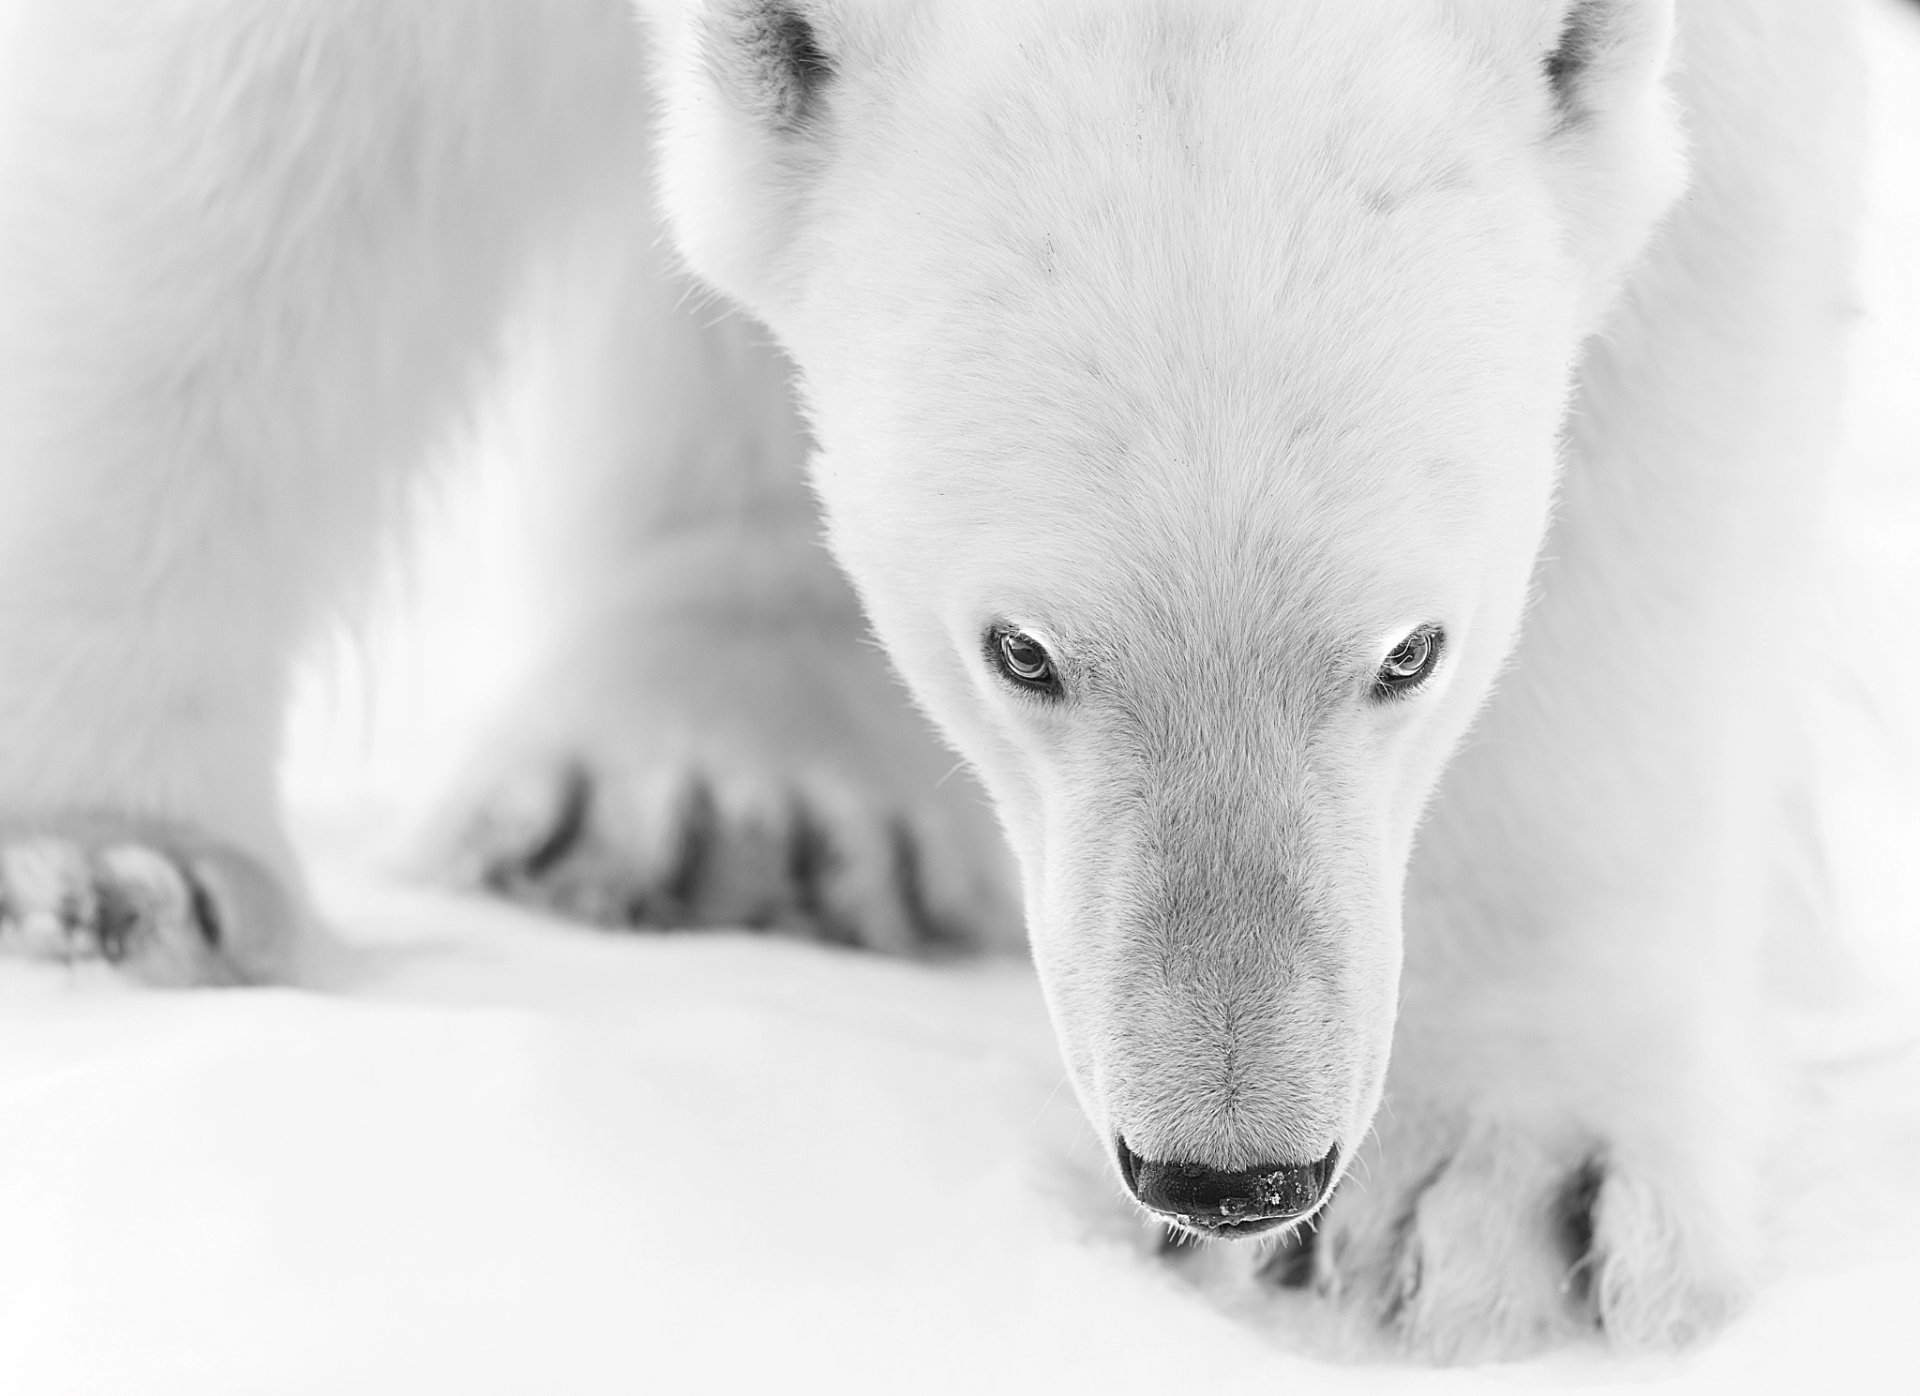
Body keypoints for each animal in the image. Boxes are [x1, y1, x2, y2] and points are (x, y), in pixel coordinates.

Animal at [0, 0, 1869, 1363]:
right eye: (1021, 652)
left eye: (1412, 651)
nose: (1233, 1169)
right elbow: (250, 112)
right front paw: (103, 866)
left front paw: (1485, 1195)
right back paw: (717, 796)